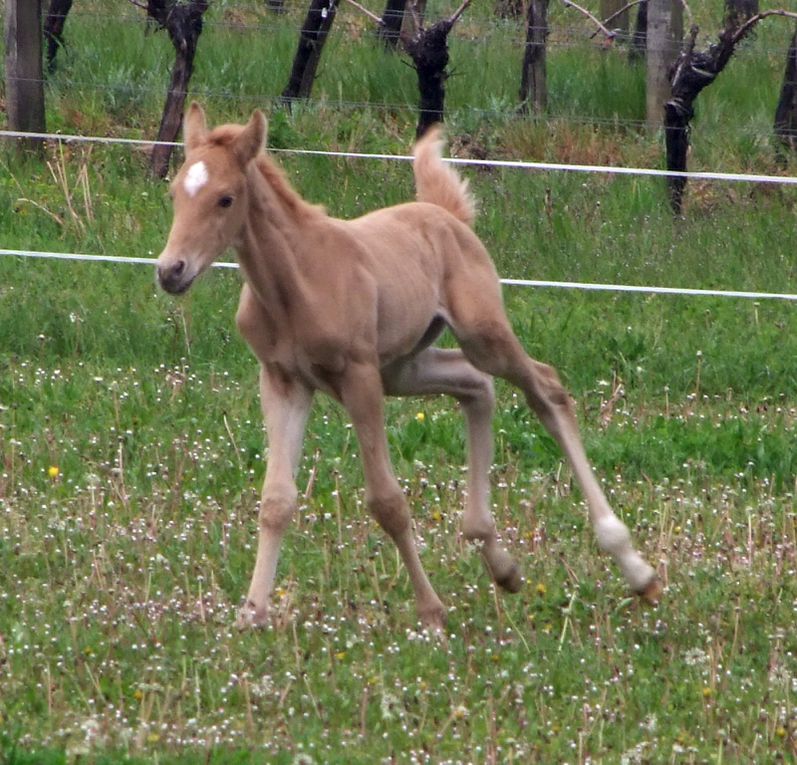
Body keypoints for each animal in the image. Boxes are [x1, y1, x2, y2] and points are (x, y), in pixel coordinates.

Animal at [157, 103, 660, 628]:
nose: (170, 271)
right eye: (174, 193)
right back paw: (499, 561)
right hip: (403, 368)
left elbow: (387, 501)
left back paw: (635, 567)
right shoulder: (283, 380)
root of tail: (446, 215)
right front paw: (252, 614)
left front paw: (432, 611)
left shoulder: (358, 377)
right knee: (476, 387)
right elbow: (276, 500)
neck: (297, 281)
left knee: (546, 388)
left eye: (226, 199)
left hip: (480, 336)